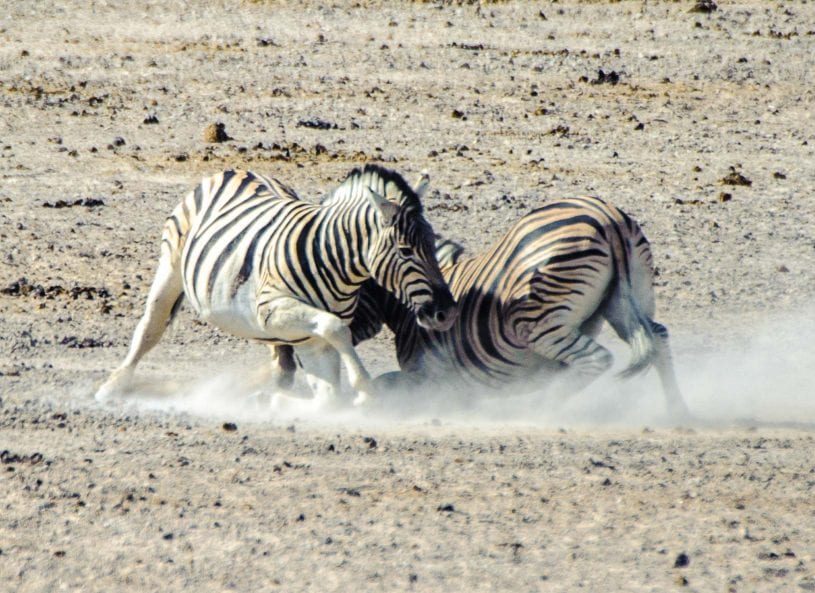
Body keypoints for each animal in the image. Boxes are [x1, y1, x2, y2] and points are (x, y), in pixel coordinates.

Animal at [94, 164, 460, 410]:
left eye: (433, 244)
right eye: (406, 250)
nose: (447, 313)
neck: (334, 261)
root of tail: (235, 170)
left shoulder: (309, 340)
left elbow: (328, 396)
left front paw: (275, 401)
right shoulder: (271, 310)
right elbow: (336, 328)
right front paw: (365, 387)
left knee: (277, 355)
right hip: (170, 267)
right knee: (150, 328)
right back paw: (112, 387)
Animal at [336, 194, 688, 416]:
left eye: (347, 293)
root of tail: (608, 217)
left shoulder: (435, 382)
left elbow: (383, 385)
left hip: (534, 321)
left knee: (596, 359)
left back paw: (539, 412)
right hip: (626, 301)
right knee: (658, 336)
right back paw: (677, 411)